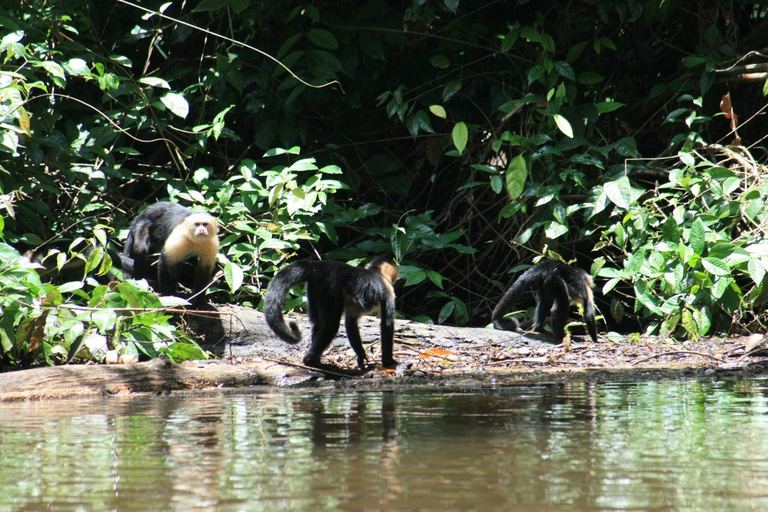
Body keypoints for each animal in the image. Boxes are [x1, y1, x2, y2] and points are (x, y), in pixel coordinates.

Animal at [264, 258, 400, 370]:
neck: (377, 273)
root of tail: (319, 266)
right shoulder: (388, 292)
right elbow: (387, 325)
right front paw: (388, 361)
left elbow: (351, 323)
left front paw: (361, 355)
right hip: (330, 288)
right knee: (331, 326)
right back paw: (310, 360)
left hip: (315, 287)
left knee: (318, 323)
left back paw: (316, 360)